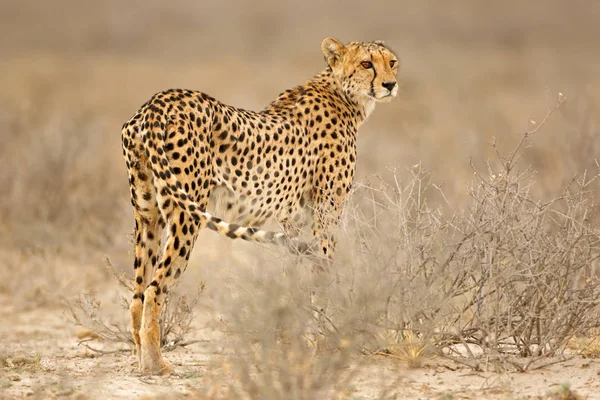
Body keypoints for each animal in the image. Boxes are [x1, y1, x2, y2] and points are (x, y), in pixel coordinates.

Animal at [121, 36, 398, 372]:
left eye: (392, 62)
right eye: (366, 63)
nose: (390, 84)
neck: (344, 95)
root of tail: (157, 102)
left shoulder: (295, 219)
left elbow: (296, 276)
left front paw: (293, 339)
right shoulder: (326, 212)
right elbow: (324, 271)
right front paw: (325, 337)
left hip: (147, 214)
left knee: (137, 291)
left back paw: (140, 360)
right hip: (186, 215)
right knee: (154, 288)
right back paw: (157, 365)